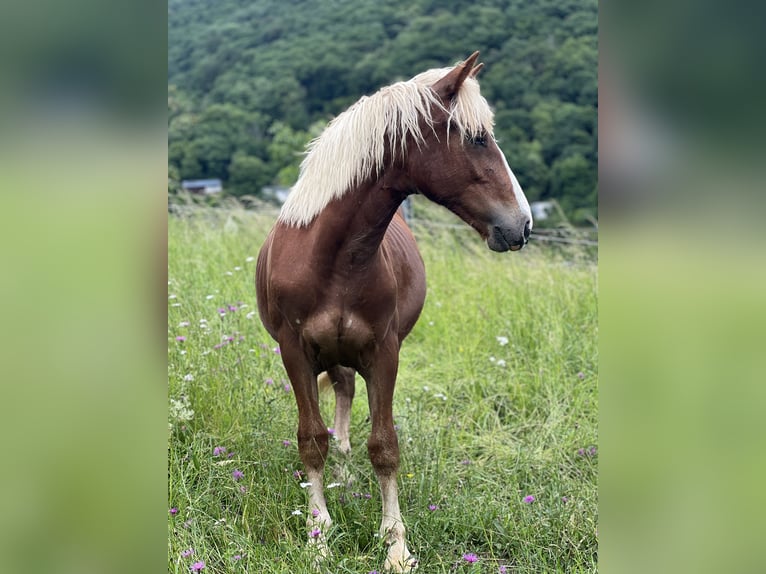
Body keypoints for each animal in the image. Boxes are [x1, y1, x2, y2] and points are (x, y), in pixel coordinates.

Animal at [255, 51, 532, 572]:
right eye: (477, 138)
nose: (523, 224)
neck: (332, 260)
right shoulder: (295, 353)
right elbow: (312, 440)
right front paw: (318, 535)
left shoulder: (383, 353)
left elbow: (384, 447)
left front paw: (395, 545)